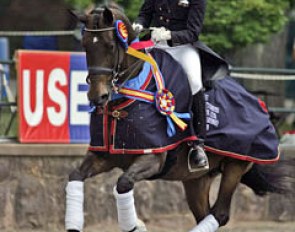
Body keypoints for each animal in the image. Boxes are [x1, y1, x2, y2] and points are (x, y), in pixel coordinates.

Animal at [66, 5, 294, 232]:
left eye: (111, 46)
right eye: (85, 45)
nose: (98, 96)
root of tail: (258, 103)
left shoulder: (153, 157)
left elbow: (122, 184)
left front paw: (136, 226)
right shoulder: (104, 155)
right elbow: (75, 175)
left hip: (235, 165)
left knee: (219, 214)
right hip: (196, 179)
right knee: (205, 214)